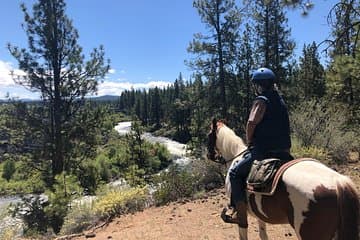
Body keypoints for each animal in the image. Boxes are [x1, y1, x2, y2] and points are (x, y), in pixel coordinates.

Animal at [207, 120, 358, 240]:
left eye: (209, 135)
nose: (209, 155)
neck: (236, 155)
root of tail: (338, 182)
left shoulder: (240, 213)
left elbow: (243, 233)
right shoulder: (259, 215)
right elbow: (263, 233)